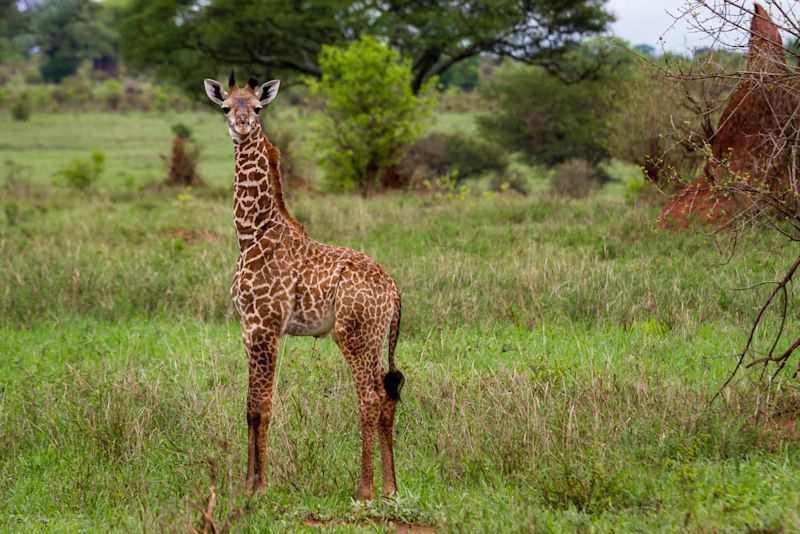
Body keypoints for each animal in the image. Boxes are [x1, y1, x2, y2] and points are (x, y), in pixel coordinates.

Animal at [203, 72, 404, 502]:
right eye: (225, 107)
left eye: (256, 107)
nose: (241, 125)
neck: (251, 234)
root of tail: (395, 291)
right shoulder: (248, 329)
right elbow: (249, 406)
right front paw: (247, 484)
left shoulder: (266, 327)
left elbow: (262, 406)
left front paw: (259, 486)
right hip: (376, 337)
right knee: (388, 395)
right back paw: (391, 488)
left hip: (353, 335)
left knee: (370, 397)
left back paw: (365, 490)